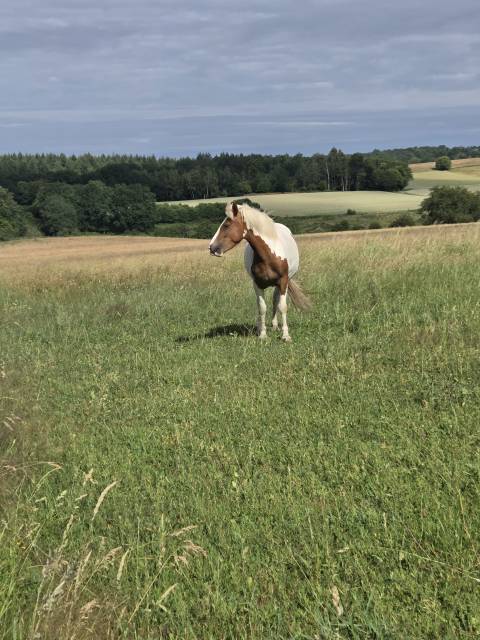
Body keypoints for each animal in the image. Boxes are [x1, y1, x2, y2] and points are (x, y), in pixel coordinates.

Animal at [209, 202, 311, 341]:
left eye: (226, 225)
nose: (211, 247)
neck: (269, 255)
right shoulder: (257, 283)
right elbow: (262, 307)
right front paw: (262, 334)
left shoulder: (283, 281)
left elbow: (282, 307)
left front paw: (285, 335)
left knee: (275, 300)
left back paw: (275, 326)